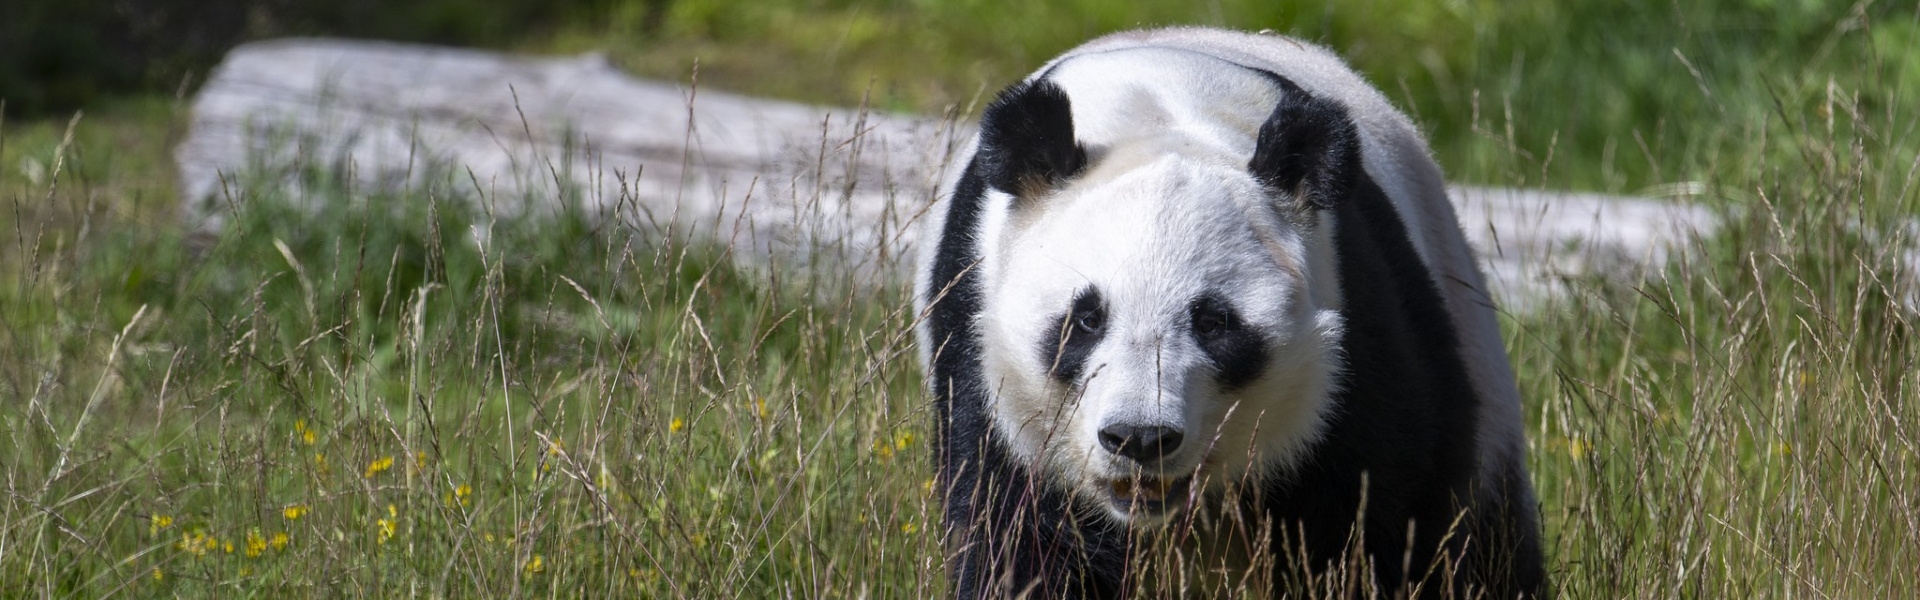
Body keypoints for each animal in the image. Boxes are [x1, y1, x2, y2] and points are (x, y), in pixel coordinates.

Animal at [910, 26, 1543, 596]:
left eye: (1213, 323)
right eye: (1086, 319)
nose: (1139, 439)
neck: (1156, 112)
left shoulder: (1352, 355)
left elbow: (1376, 524)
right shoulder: (987, 370)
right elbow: (1019, 537)